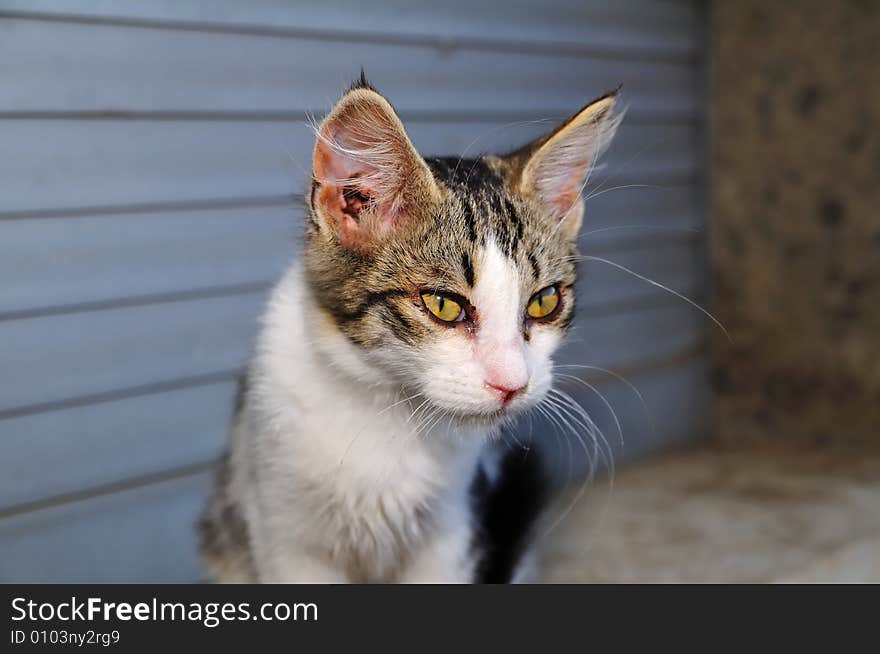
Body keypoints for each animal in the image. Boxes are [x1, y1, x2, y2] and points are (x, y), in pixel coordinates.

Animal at [199, 75, 624, 584]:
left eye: (544, 301)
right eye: (443, 305)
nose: (512, 385)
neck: (389, 411)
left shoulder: (455, 529)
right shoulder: (284, 532)